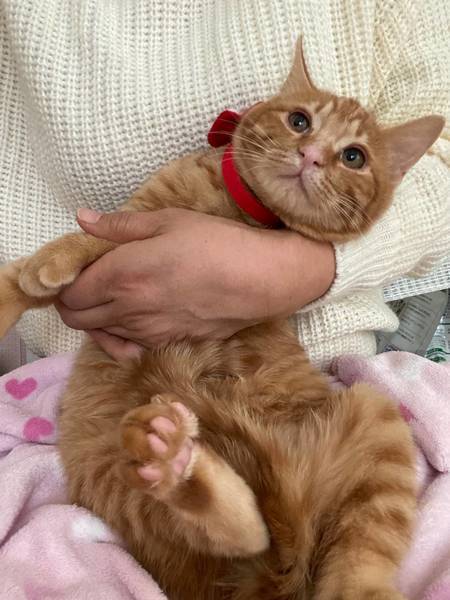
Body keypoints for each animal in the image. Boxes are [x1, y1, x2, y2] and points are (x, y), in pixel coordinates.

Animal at [0, 41, 444, 599]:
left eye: (353, 157)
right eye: (299, 121)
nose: (313, 155)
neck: (235, 208)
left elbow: (92, 239)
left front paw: (48, 264)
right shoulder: (143, 212)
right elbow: (78, 246)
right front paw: (34, 274)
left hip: (378, 421)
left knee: (306, 553)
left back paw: (182, 465)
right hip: (110, 466)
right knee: (239, 533)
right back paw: (177, 459)